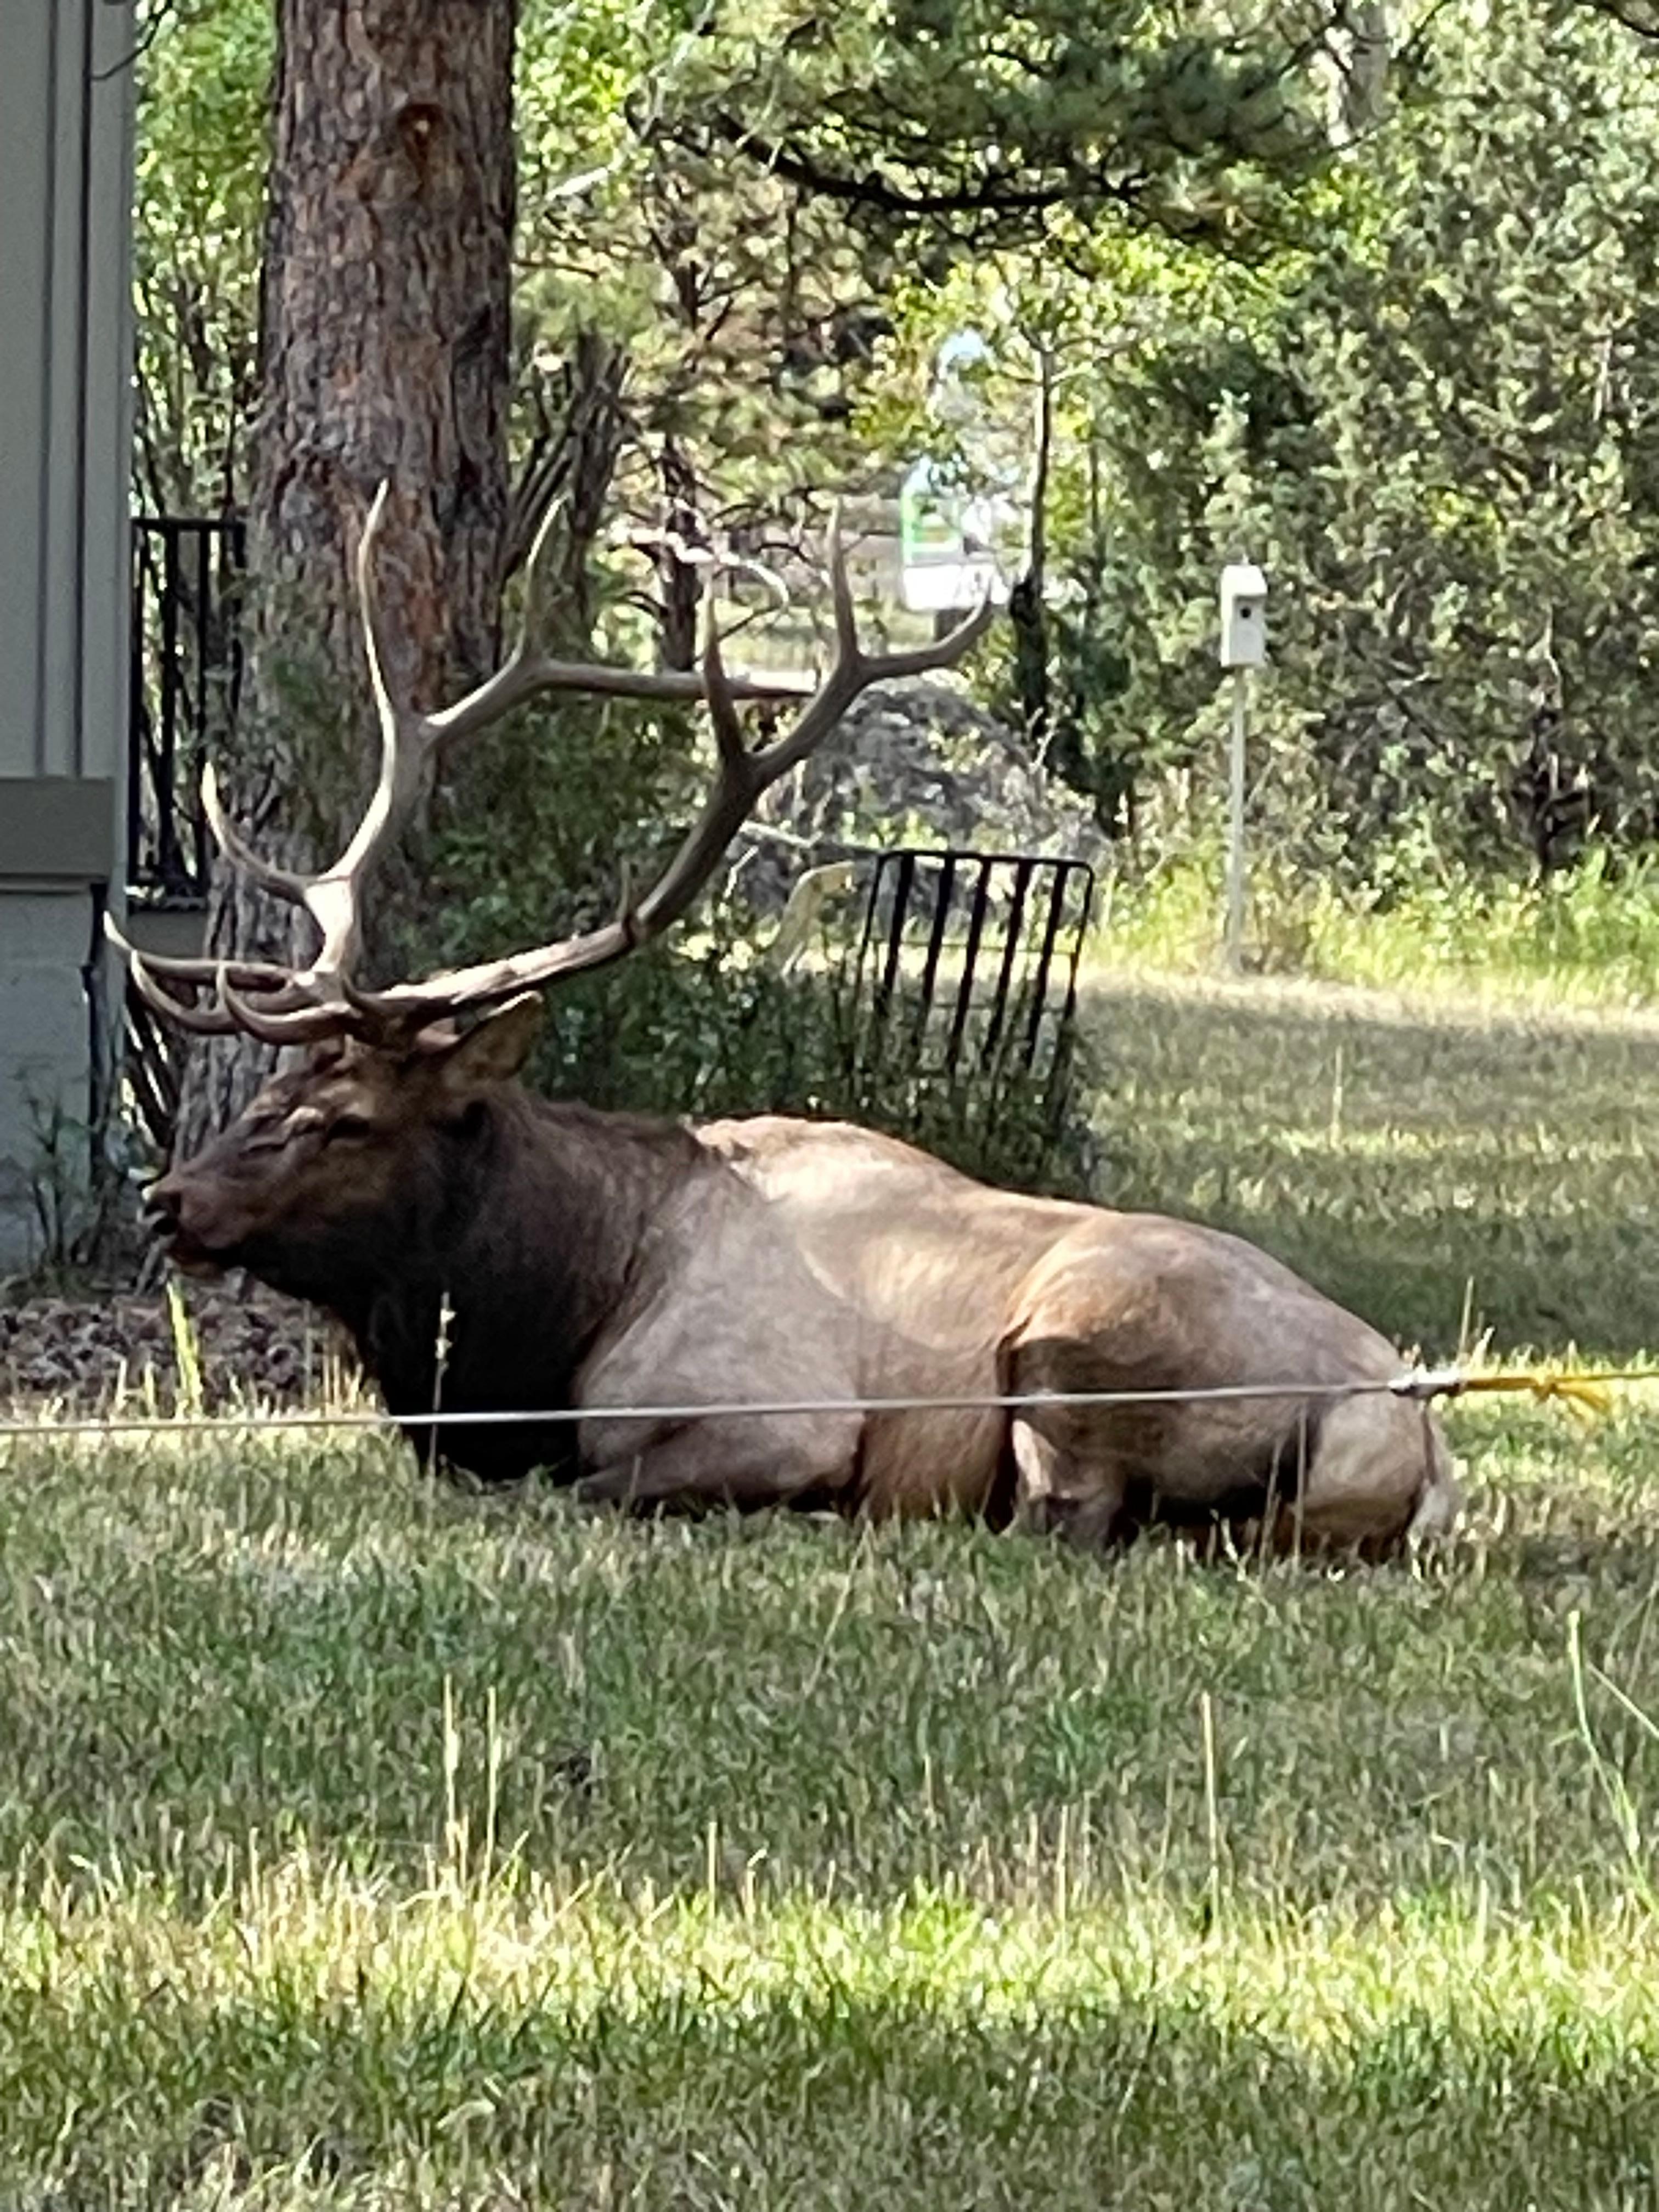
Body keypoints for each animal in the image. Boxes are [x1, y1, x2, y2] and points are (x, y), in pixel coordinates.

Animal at [115, 489, 1461, 1558]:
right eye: (270, 1096)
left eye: (340, 1119)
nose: (168, 1200)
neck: (546, 1324)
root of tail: (1408, 1426)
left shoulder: (776, 1416)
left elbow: (590, 1485)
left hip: (1073, 1336)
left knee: (1065, 1518)